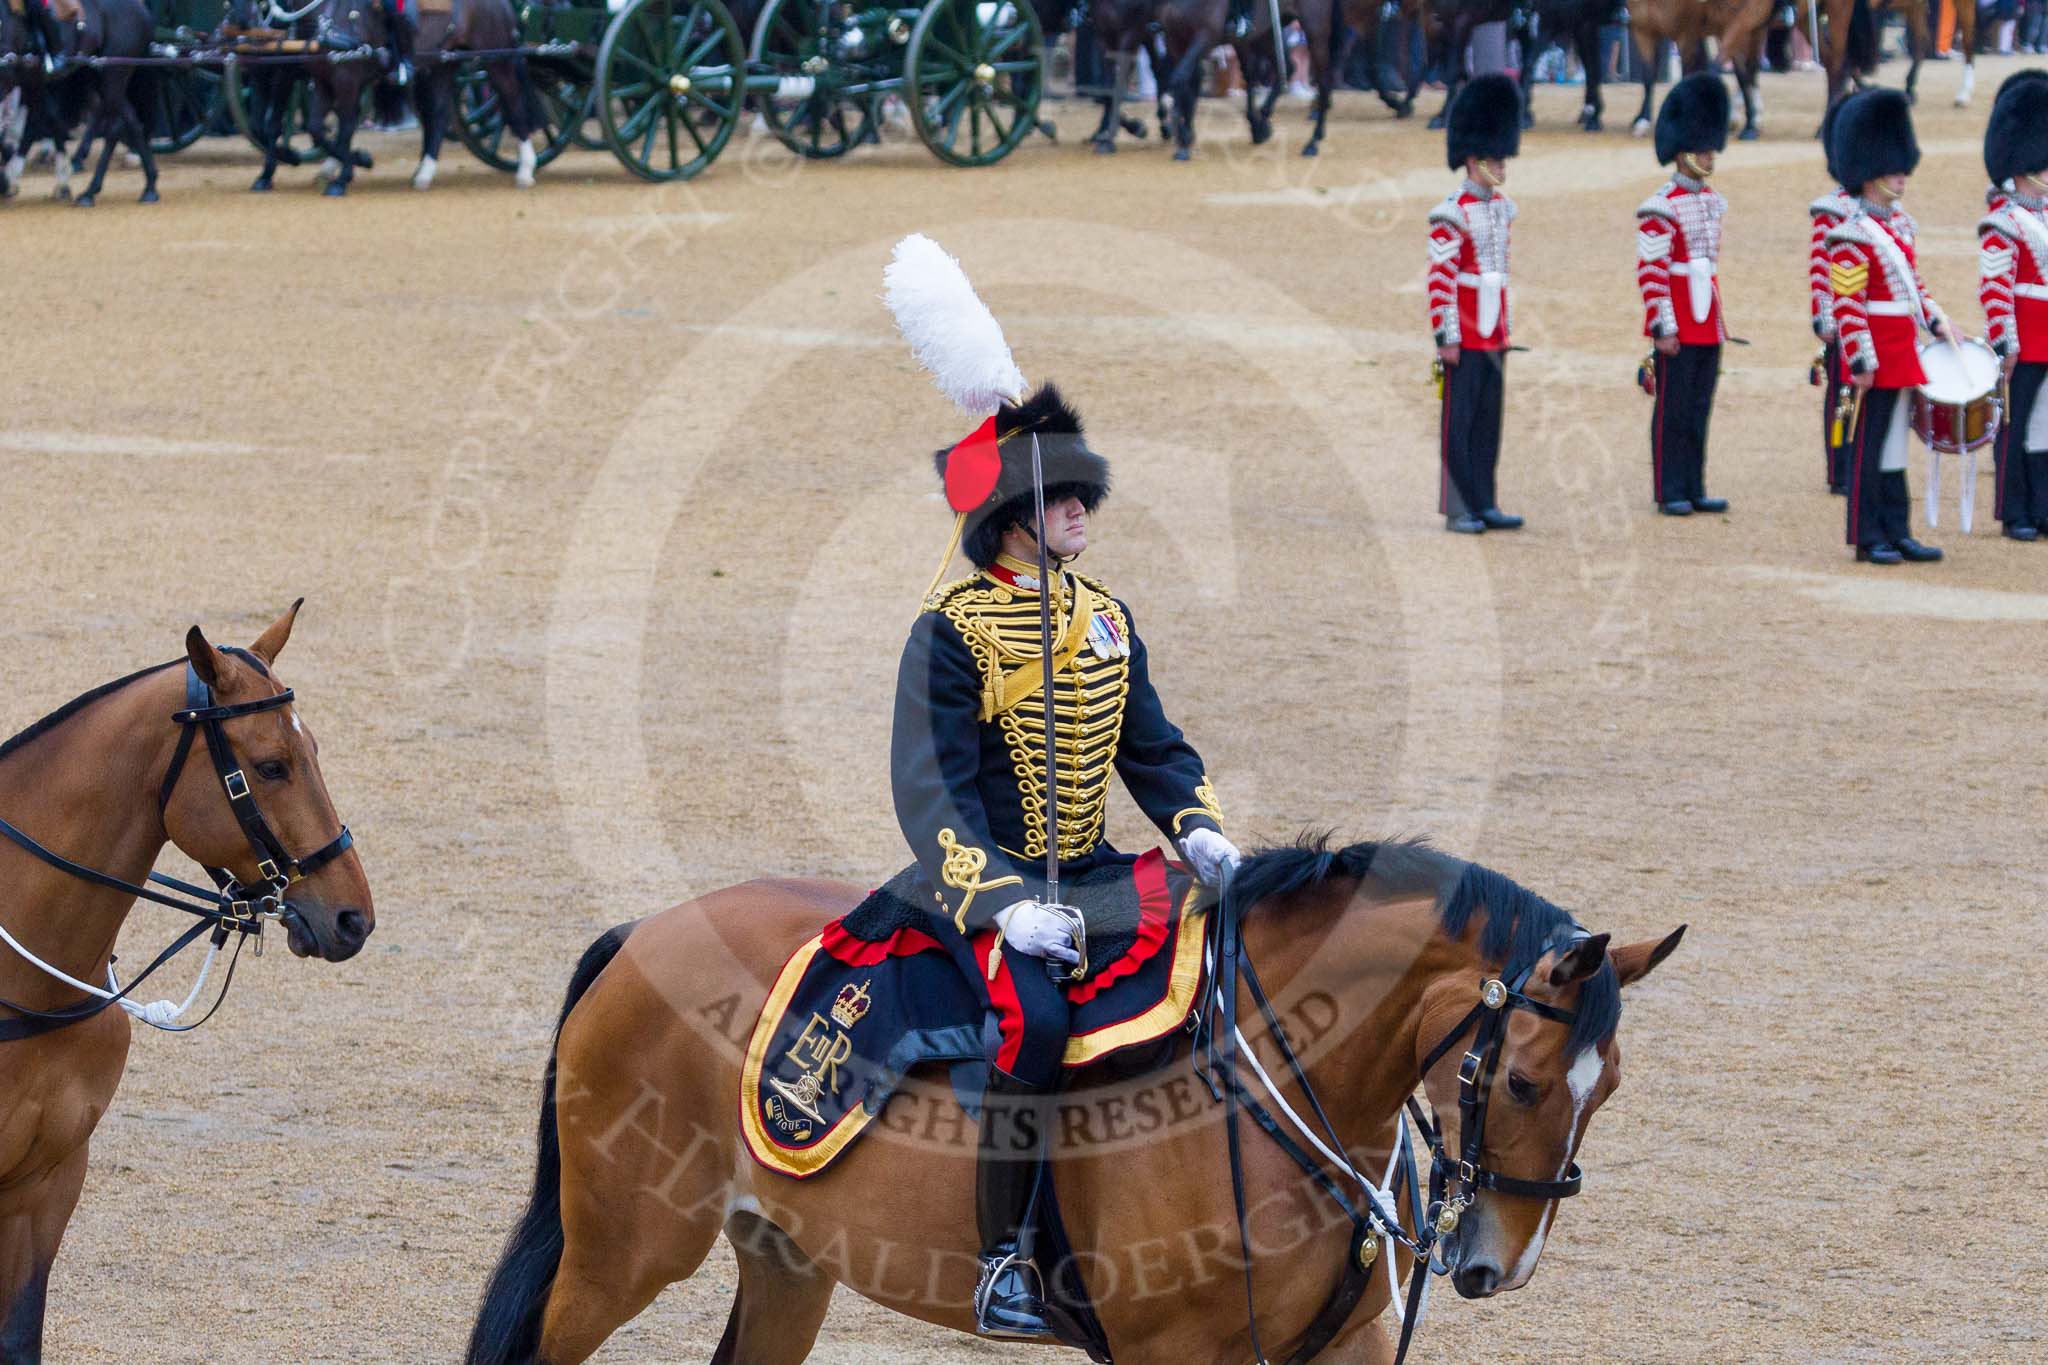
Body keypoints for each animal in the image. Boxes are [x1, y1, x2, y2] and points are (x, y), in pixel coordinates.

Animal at [468, 839, 1679, 1358]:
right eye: (1521, 1078)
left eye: (1609, 1087)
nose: (1497, 1265)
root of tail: (644, 933)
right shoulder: (1167, 1357)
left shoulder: (1345, 1348)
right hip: (625, 1251)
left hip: (787, 1261)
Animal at [1622, 0, 1769, 139]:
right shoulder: (1644, 32)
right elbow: (1648, 79)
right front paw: (1643, 121)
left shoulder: (1686, 36)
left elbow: (1686, 77)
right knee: (1744, 72)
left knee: (1747, 70)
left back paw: (1750, 123)